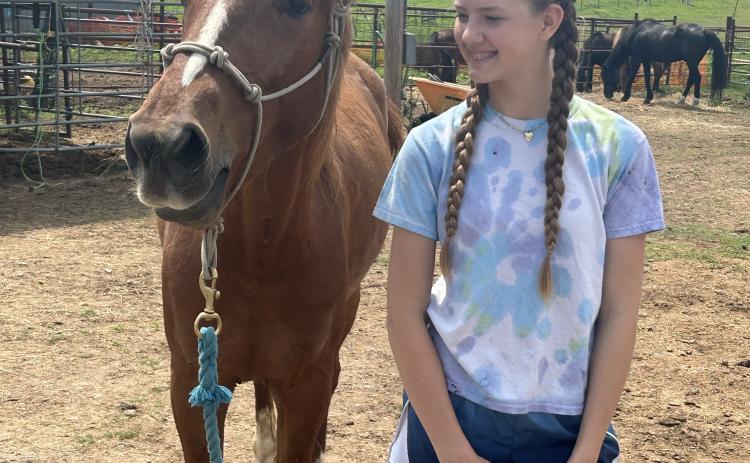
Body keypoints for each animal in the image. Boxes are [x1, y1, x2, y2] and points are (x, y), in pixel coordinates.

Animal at [123, 0, 403, 461]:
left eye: (297, 6)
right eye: (185, 5)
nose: (159, 144)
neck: (262, 252)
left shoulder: (306, 383)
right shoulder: (192, 379)